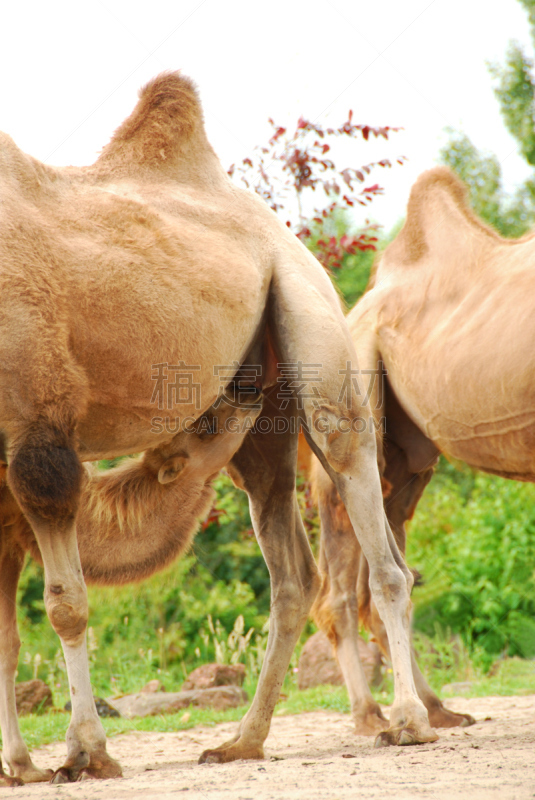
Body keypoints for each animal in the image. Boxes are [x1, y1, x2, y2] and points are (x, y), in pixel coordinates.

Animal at [0, 75, 438, 788]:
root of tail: (282, 235)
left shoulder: (38, 429)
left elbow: (66, 603)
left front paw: (87, 752)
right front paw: (30, 763)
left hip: (312, 325)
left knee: (374, 533)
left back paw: (407, 720)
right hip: (259, 412)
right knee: (293, 571)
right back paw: (242, 741)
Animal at [310, 169, 535, 736]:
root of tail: (355, 308)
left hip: (409, 465)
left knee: (389, 573)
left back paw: (436, 709)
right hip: (350, 404)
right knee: (342, 594)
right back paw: (376, 716)